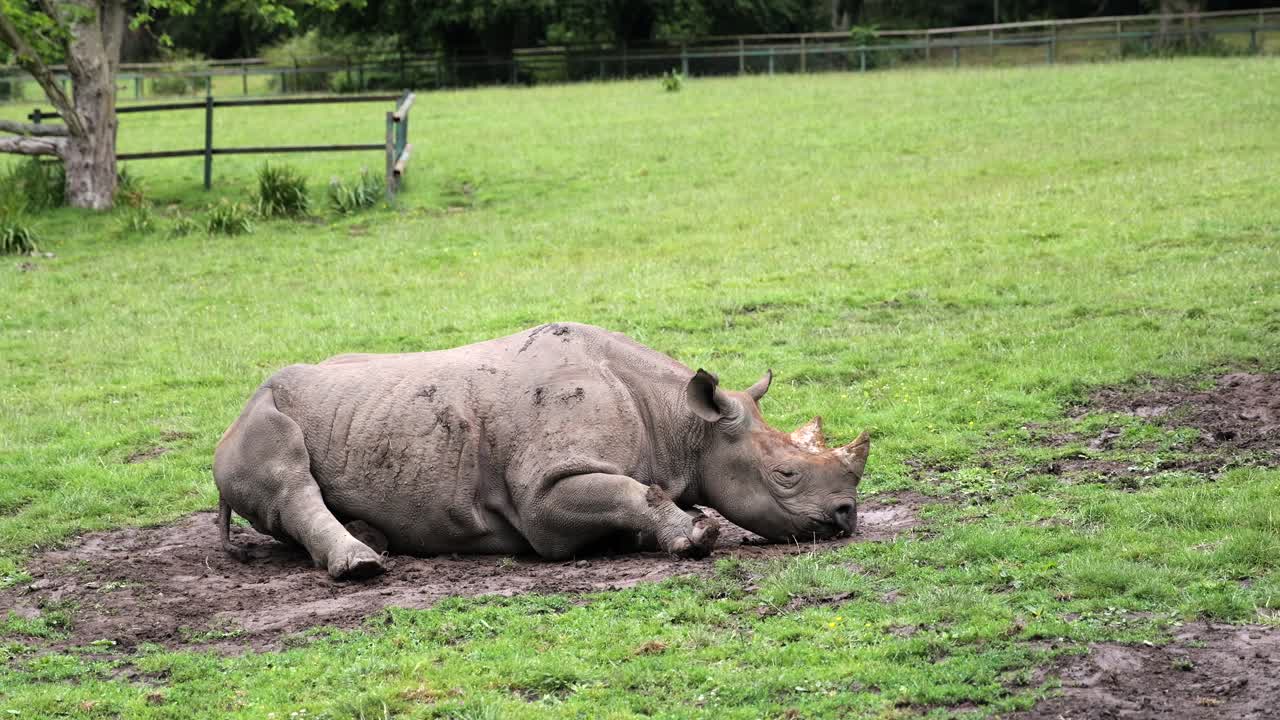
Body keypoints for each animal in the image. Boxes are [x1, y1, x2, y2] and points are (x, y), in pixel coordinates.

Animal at [213, 323, 870, 580]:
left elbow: (638, 496)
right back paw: (363, 565)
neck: (683, 424)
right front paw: (694, 535)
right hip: (262, 412)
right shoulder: (544, 496)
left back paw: (374, 539)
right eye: (784, 474)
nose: (847, 516)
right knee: (288, 476)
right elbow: (628, 493)